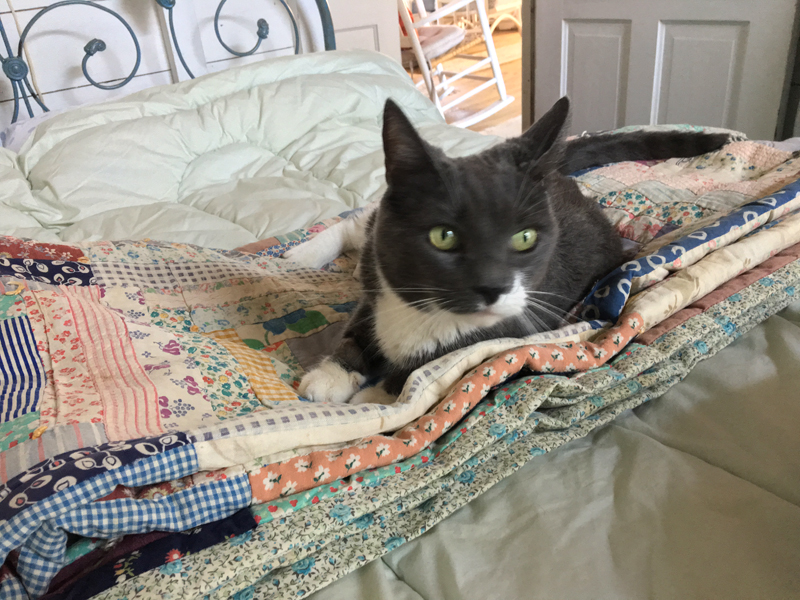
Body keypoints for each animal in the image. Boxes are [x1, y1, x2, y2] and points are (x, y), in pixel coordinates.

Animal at [284, 98, 728, 406]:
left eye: (524, 238)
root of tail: (554, 174)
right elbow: (358, 327)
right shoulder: (378, 284)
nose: (492, 285)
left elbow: (431, 364)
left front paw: (378, 395)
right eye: (443, 236)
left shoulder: (514, 326)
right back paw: (301, 256)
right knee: (359, 221)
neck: (424, 310)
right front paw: (331, 375)